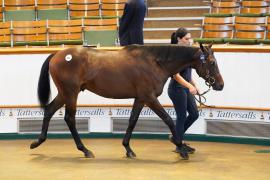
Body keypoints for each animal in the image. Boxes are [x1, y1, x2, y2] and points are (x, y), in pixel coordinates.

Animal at [30, 44, 224, 160]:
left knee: (49, 110)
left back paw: (37, 142)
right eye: (212, 62)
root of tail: (57, 54)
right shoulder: (149, 97)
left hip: (65, 93)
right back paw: (85, 150)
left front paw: (128, 149)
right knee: (69, 119)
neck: (155, 62)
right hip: (70, 93)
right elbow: (168, 120)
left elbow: (132, 121)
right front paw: (181, 148)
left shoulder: (140, 98)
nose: (220, 85)